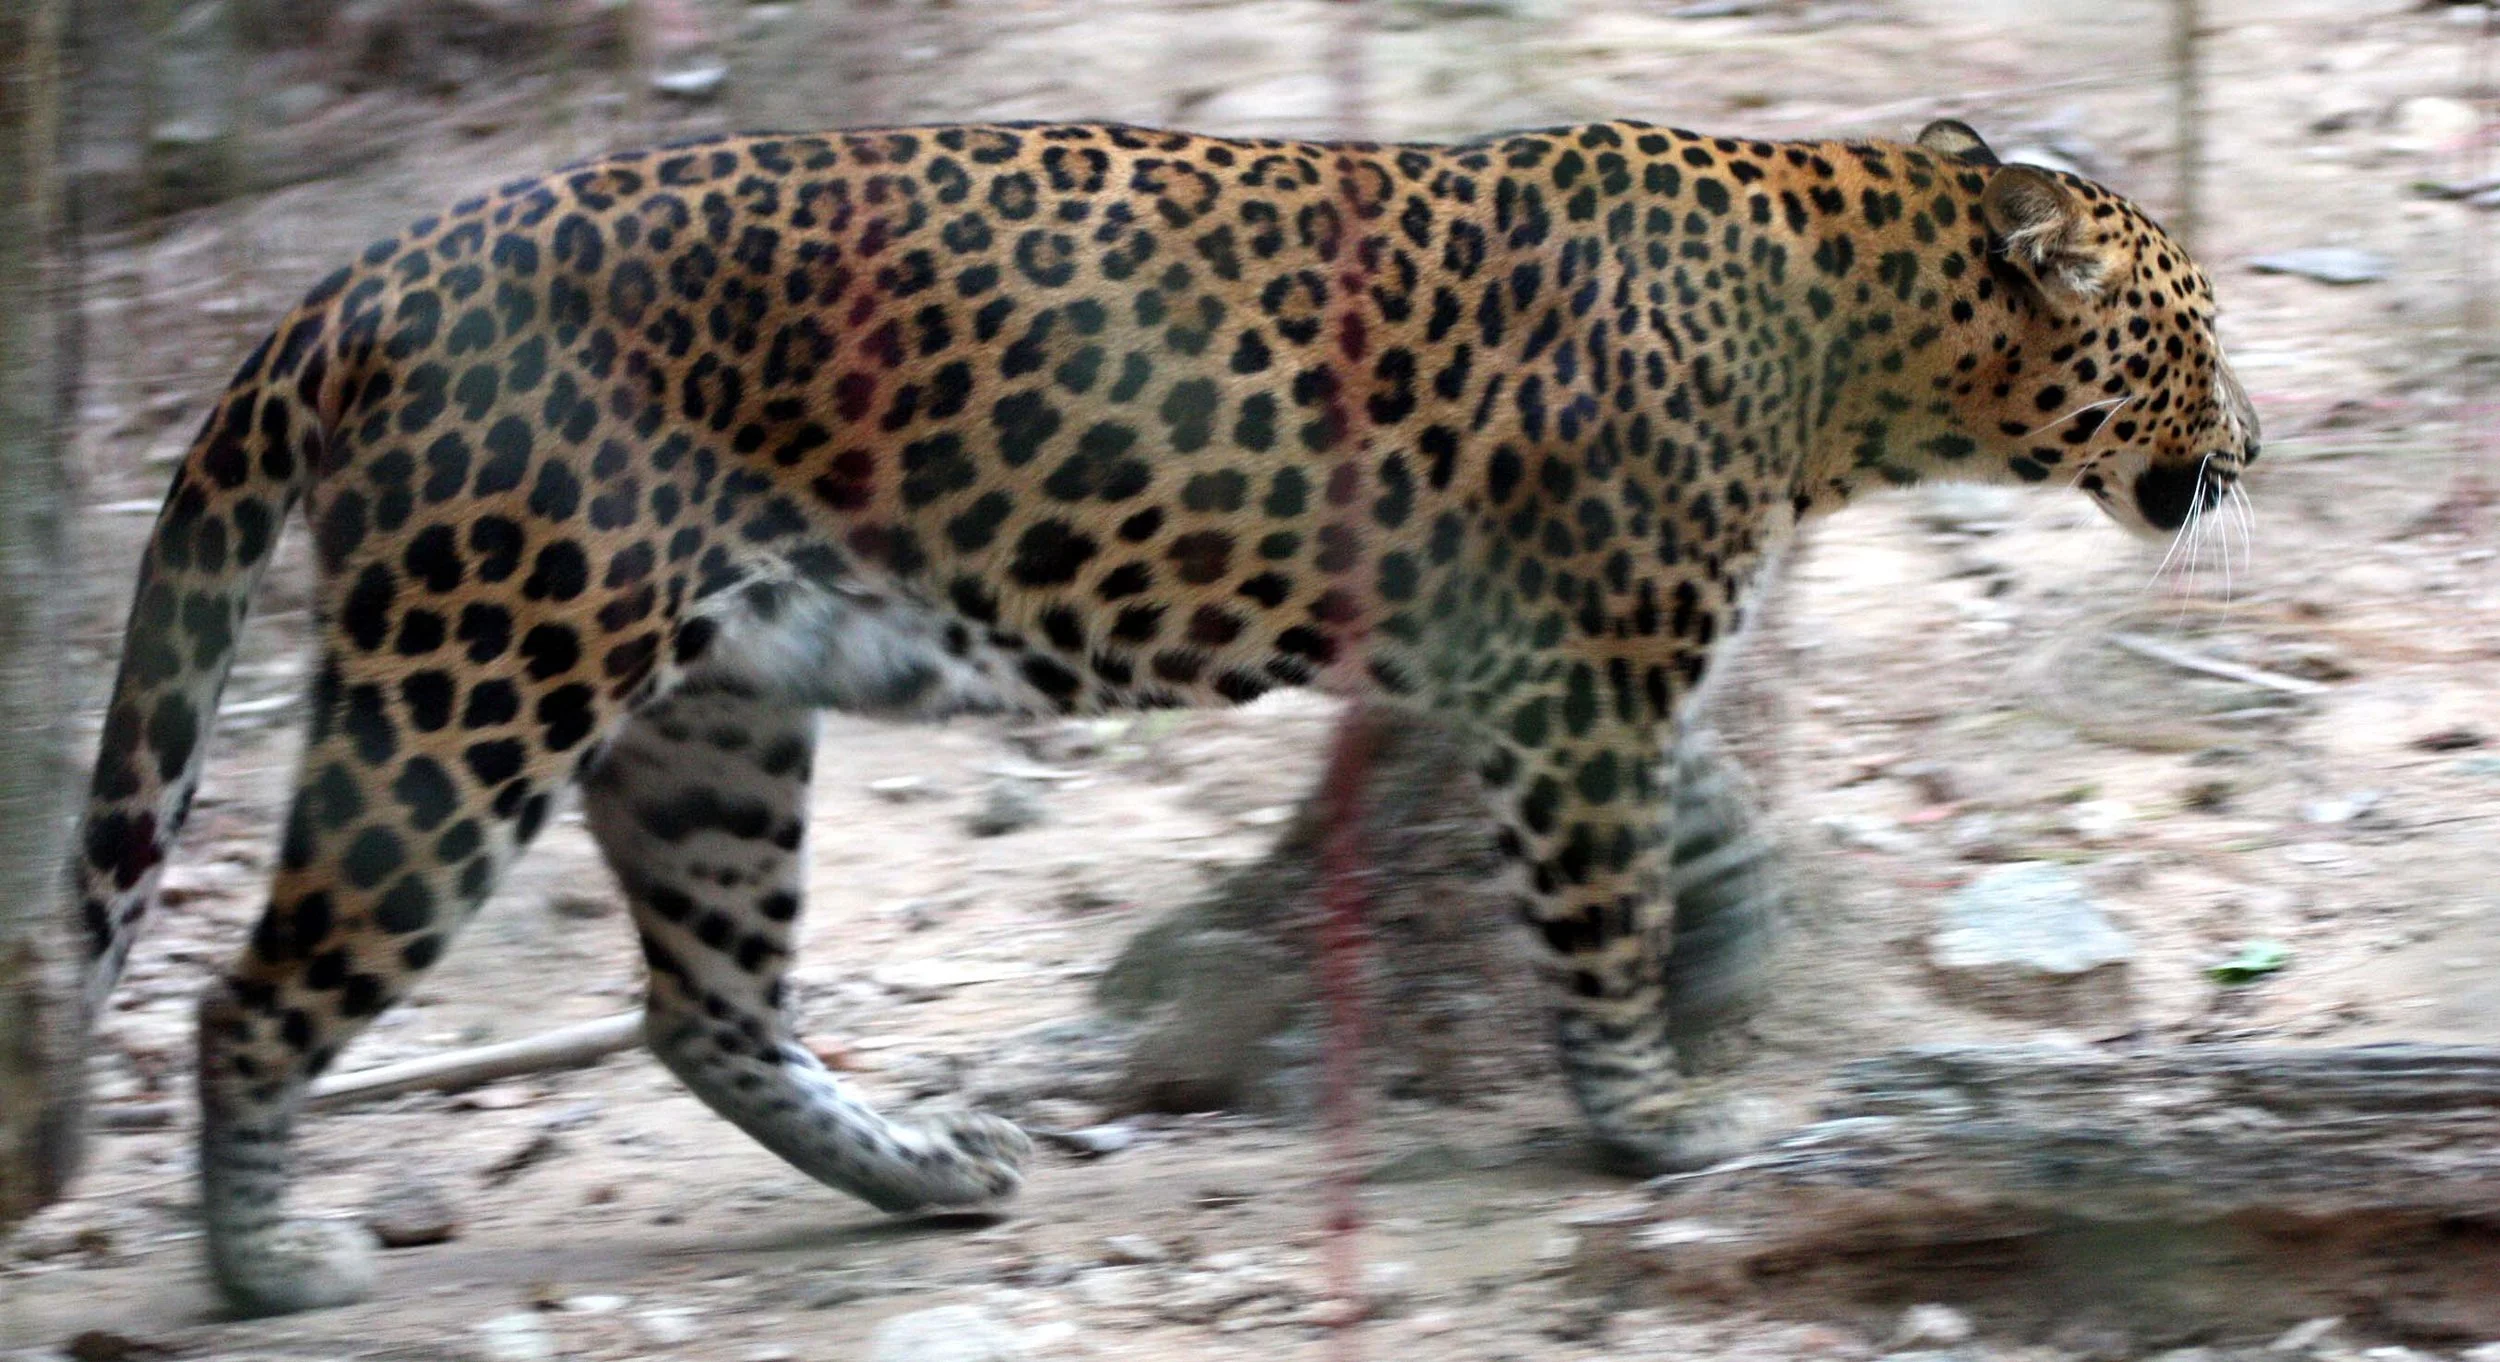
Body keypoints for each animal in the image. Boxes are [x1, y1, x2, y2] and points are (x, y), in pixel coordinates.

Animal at [39, 115, 2257, 1316]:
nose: (2251, 443)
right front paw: (1652, 1113)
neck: (1849, 333)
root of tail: (369, 275)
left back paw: (927, 1169)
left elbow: (1690, 816)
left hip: (713, 715)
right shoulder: (1573, 676)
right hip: (477, 676)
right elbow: (1604, 895)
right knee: (250, 995)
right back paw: (266, 1267)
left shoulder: (1535, 669)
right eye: (2196, 330)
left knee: (704, 1007)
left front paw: (1731, 944)